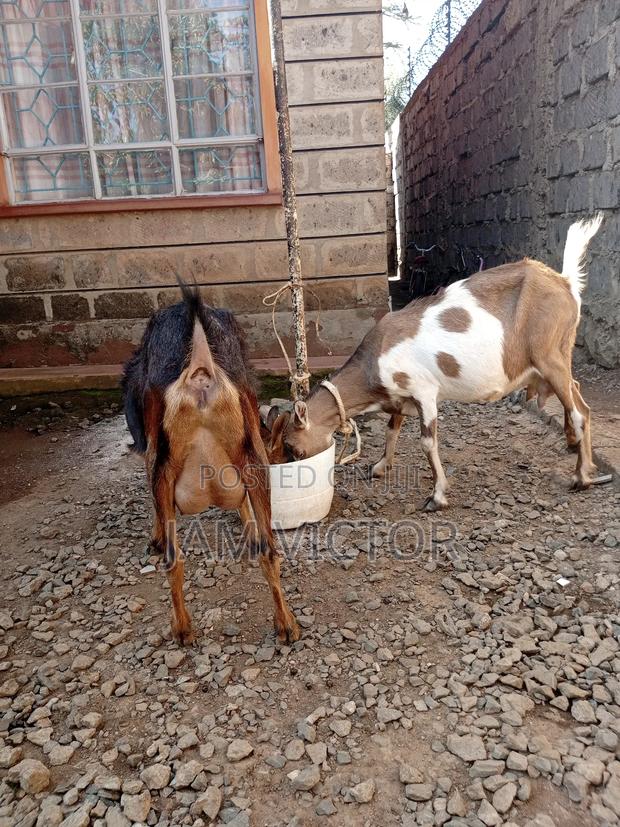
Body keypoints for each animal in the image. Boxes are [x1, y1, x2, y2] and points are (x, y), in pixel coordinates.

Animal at [122, 283, 300, 645]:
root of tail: (201, 370)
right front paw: (250, 532)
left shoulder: (149, 452)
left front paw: (155, 536)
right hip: (251, 460)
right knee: (267, 552)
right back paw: (285, 624)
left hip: (166, 462)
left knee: (173, 556)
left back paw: (183, 627)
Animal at [270, 216, 603, 510]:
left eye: (292, 446)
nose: (288, 469)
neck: (373, 363)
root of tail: (565, 282)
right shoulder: (400, 396)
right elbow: (391, 430)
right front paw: (379, 467)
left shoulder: (424, 392)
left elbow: (427, 443)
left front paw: (437, 496)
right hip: (558, 354)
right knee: (575, 393)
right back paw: (574, 447)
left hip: (548, 356)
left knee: (580, 411)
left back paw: (582, 476)